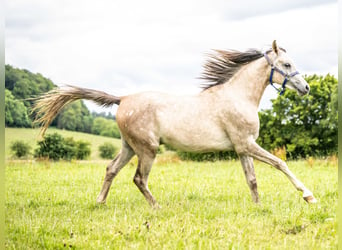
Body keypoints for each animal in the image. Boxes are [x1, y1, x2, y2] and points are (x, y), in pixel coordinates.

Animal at [33, 40, 316, 207]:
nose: (306, 88)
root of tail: (123, 99)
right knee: (139, 179)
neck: (238, 96)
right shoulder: (247, 144)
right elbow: (280, 163)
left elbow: (252, 179)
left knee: (111, 169)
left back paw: (100, 202)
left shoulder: (242, 147)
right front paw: (308, 195)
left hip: (129, 147)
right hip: (147, 149)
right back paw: (156, 207)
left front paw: (258, 206)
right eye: (287, 64)